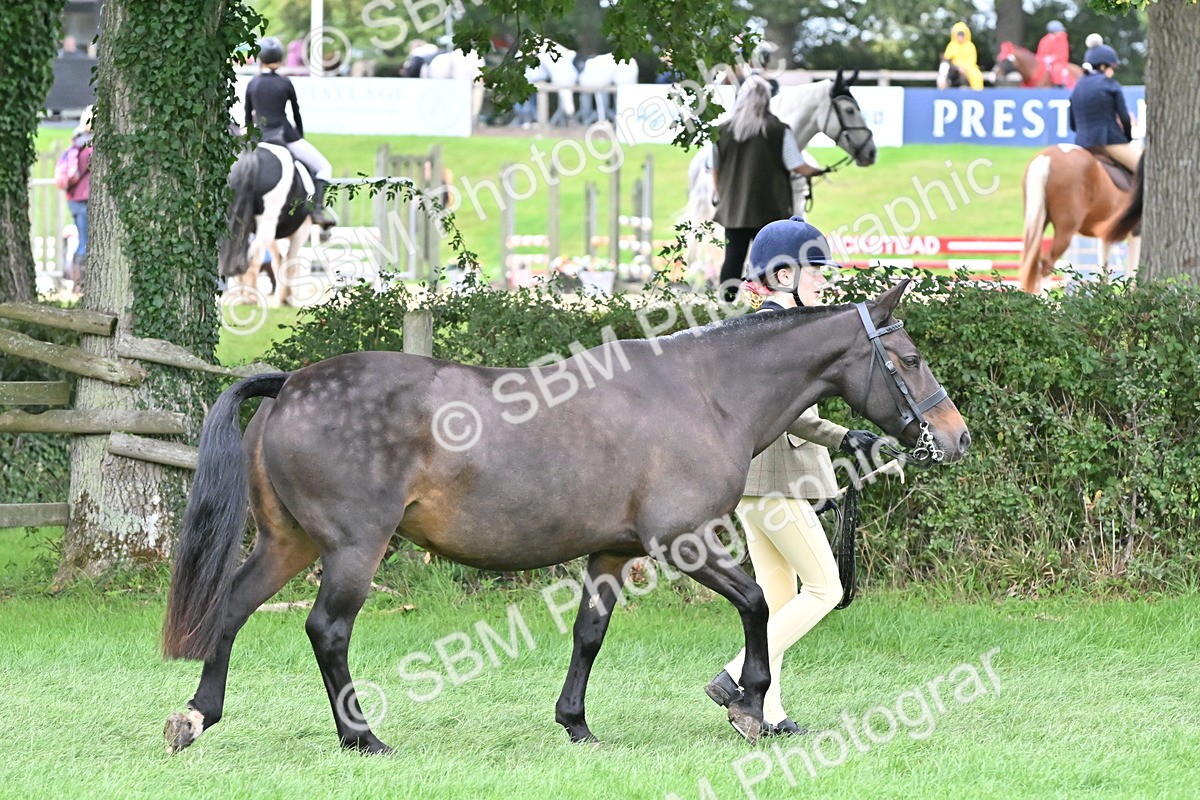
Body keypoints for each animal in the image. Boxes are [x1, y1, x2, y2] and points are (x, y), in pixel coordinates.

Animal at [161, 279, 969, 755]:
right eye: (910, 357)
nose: (955, 436)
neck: (703, 392)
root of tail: (293, 383)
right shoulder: (681, 542)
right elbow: (756, 605)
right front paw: (746, 702)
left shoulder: (611, 553)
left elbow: (589, 635)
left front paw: (575, 723)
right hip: (355, 550)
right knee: (327, 630)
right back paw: (362, 738)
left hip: (289, 543)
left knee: (232, 607)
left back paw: (198, 715)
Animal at [218, 143, 315, 308]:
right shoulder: (301, 231)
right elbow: (290, 262)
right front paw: (286, 298)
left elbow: (278, 261)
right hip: (267, 225)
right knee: (253, 258)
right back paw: (251, 298)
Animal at [1017, 143, 1143, 293]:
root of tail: (1048, 157)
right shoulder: (1136, 233)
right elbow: (1132, 274)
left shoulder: (1106, 236)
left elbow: (1104, 272)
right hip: (1065, 230)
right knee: (1047, 264)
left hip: (1037, 222)